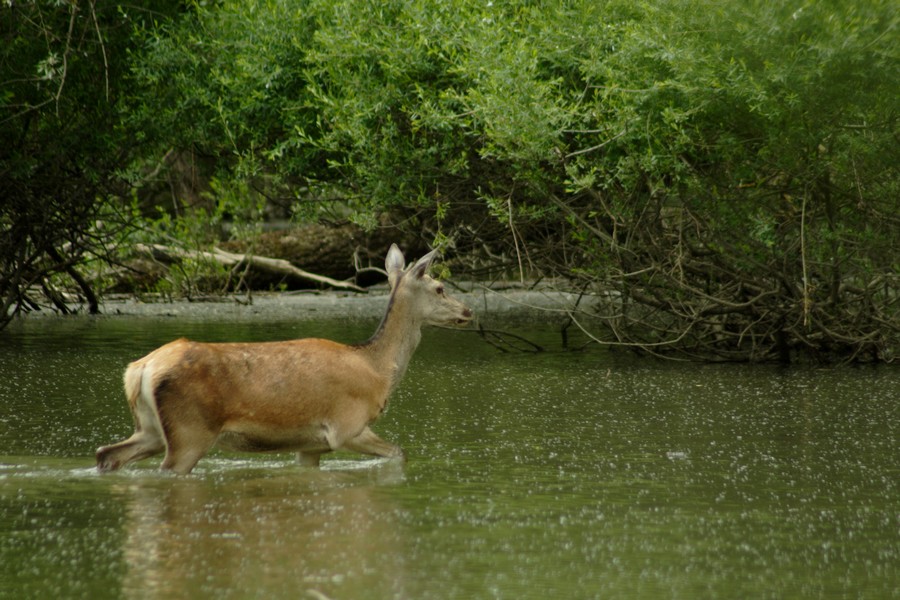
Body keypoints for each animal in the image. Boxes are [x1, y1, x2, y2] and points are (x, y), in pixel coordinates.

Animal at [96, 244, 474, 474]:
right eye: (440, 287)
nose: (468, 311)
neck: (377, 370)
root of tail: (140, 370)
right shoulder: (346, 426)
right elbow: (399, 453)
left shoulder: (311, 444)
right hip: (190, 429)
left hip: (150, 427)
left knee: (107, 453)